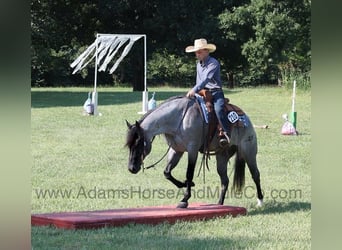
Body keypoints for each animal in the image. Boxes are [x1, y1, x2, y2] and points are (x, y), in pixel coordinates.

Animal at [124, 94, 264, 208]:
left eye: (138, 143)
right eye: (129, 145)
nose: (131, 168)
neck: (179, 118)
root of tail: (246, 119)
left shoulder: (192, 149)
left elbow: (189, 173)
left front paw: (185, 199)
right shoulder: (176, 150)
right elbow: (167, 172)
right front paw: (186, 184)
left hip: (249, 152)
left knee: (256, 175)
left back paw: (260, 201)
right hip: (222, 157)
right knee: (225, 180)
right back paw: (219, 204)